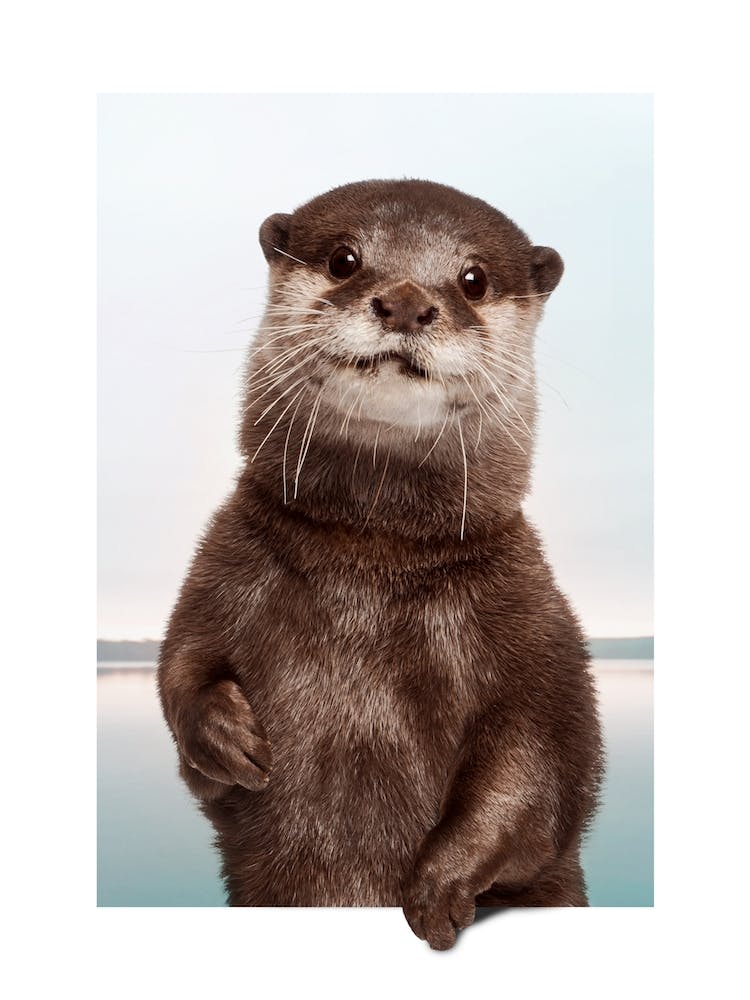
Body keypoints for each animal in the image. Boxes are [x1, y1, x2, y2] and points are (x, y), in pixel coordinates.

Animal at [157, 179, 603, 950]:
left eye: (473, 279)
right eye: (344, 259)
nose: (404, 302)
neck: (369, 566)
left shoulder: (536, 631)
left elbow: (539, 773)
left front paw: (439, 885)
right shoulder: (222, 571)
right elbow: (180, 666)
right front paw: (225, 737)